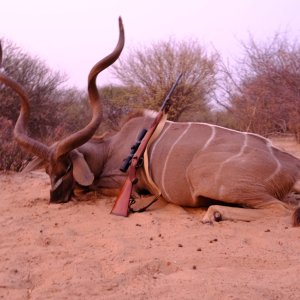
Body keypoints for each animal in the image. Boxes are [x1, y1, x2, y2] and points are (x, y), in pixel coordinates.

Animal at [0, 18, 300, 226]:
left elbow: (93, 188)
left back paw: (213, 214)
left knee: (284, 210)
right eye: (47, 170)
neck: (110, 147)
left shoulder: (120, 181)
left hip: (207, 178)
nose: (54, 199)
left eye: (67, 168)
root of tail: (290, 166)